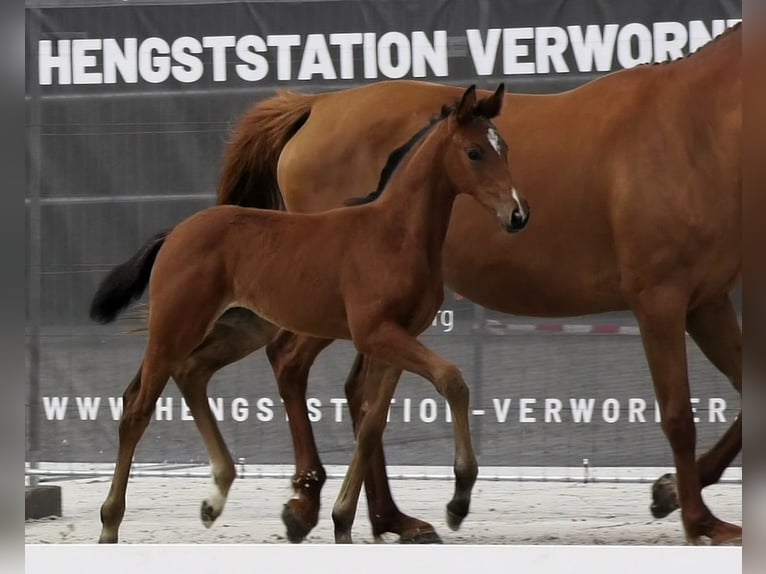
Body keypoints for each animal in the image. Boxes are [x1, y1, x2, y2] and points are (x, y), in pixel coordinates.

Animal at [89, 84, 530, 544]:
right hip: (175, 327)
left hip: (236, 329)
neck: (394, 234)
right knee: (137, 410)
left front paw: (343, 520)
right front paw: (457, 502)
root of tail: (175, 232)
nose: (517, 215)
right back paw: (110, 524)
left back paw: (215, 498)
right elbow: (452, 380)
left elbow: (372, 425)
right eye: (475, 152)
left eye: (504, 147)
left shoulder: (397, 338)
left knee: (189, 374)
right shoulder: (376, 333)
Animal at [149, 22, 738, 545]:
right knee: (293, 364)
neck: (693, 130)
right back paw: (313, 503)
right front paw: (699, 520)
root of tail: (316, 107)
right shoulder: (660, 300)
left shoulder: (707, 303)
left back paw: (386, 518)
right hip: (324, 306)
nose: (519, 213)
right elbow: (680, 414)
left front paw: (671, 493)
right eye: (475, 153)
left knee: (357, 394)